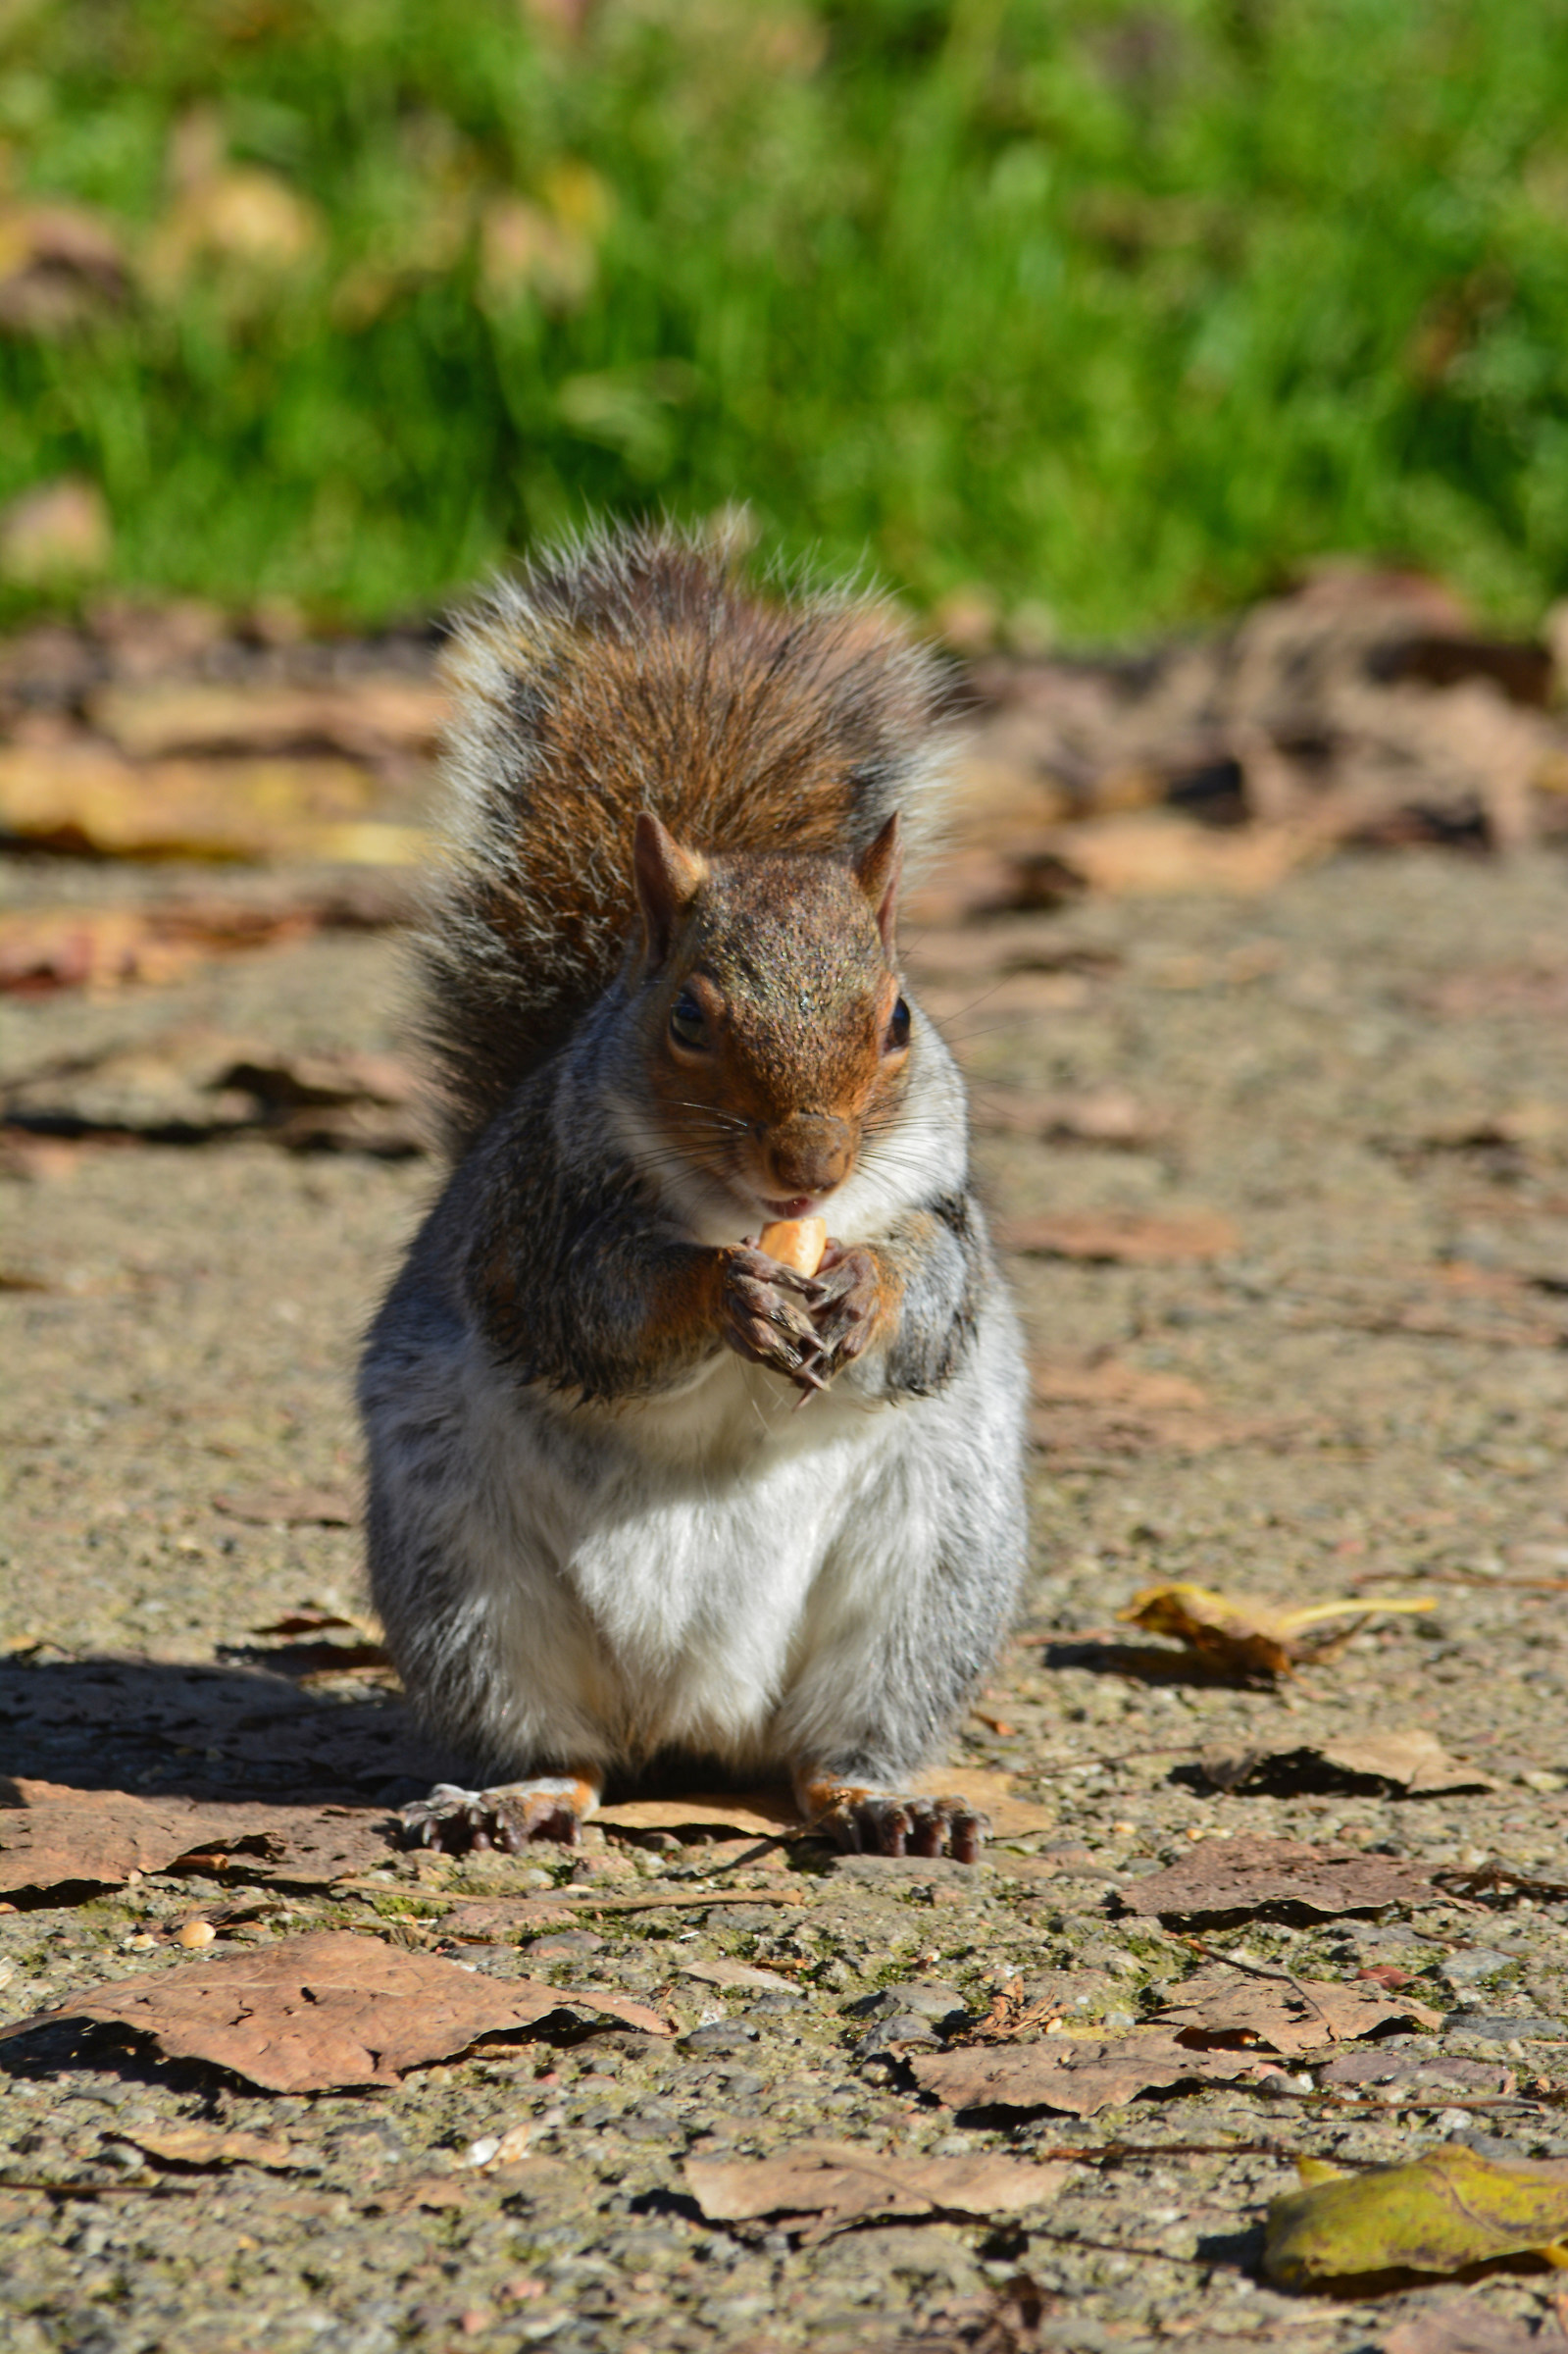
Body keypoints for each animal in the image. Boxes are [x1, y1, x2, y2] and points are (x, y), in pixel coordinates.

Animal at [359, 522, 1028, 1863]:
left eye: (899, 1018)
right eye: (688, 1020)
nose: (811, 1163)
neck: (745, 1209)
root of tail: (699, 1721)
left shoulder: (947, 1210)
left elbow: (933, 1297)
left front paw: (861, 1288)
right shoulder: (534, 1221)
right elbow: (597, 1311)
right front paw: (731, 1295)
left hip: (934, 1580)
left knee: (832, 1751)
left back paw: (888, 1802)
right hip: (467, 1588)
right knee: (561, 1747)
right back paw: (511, 1798)